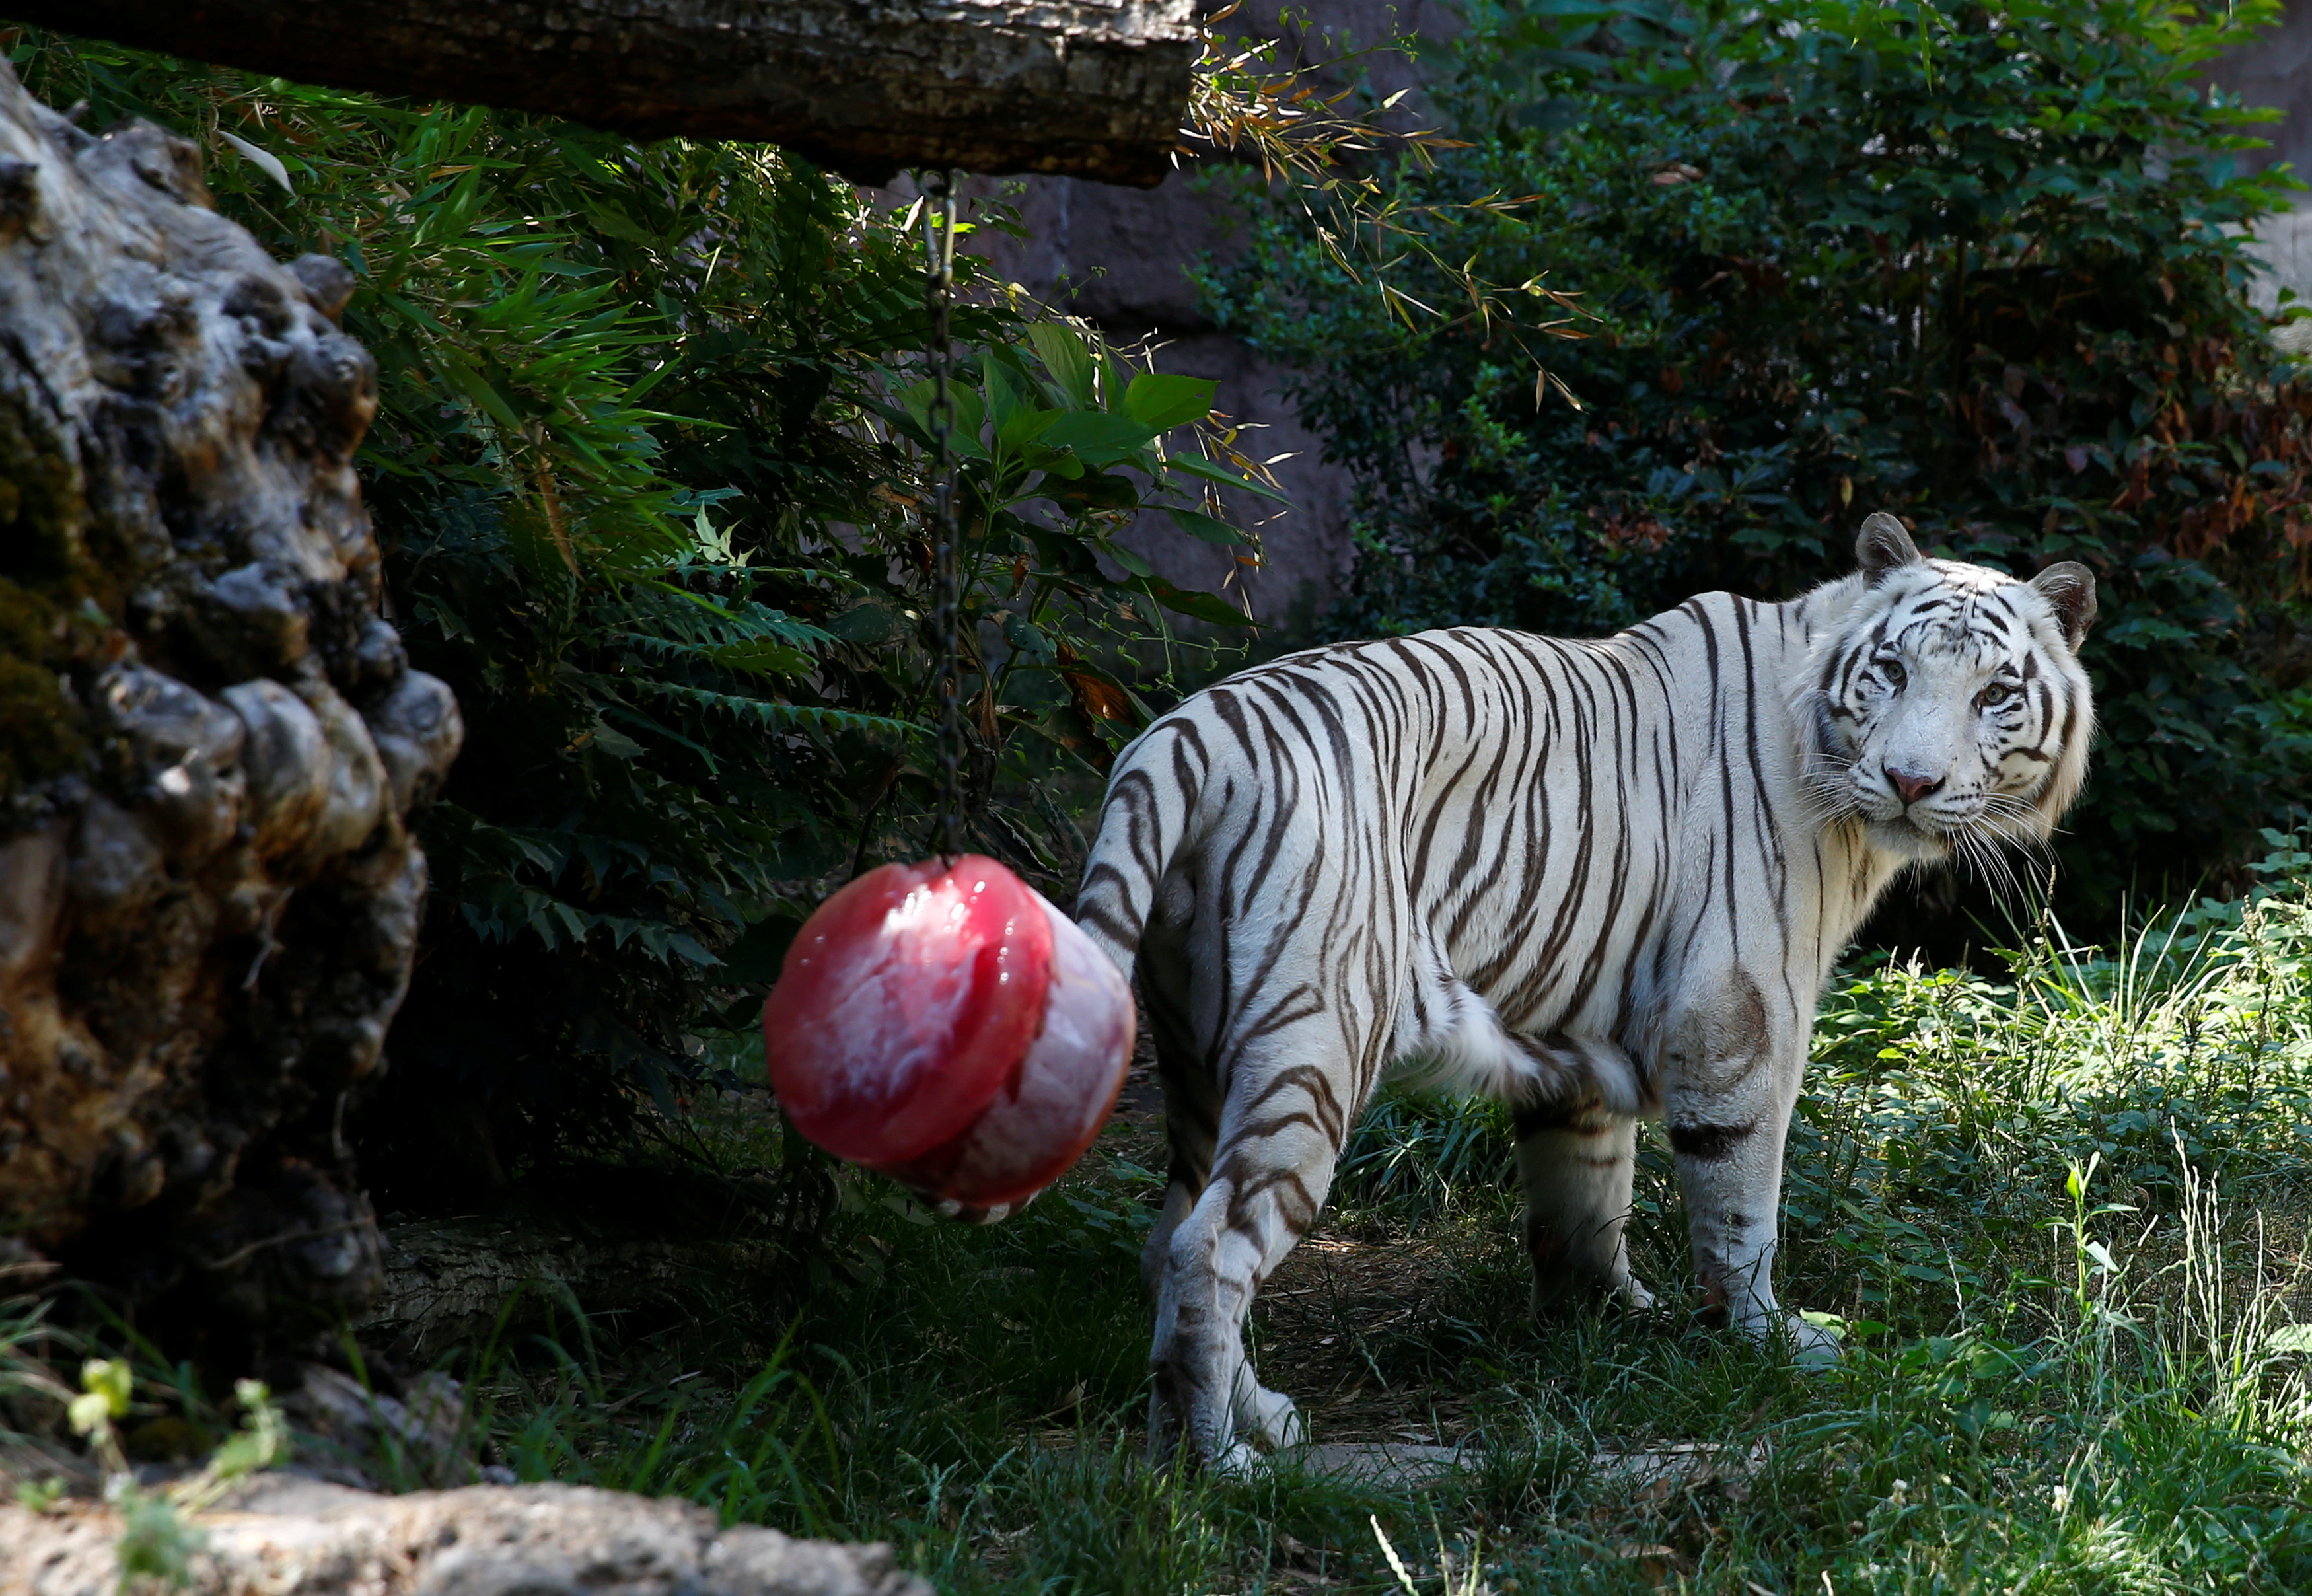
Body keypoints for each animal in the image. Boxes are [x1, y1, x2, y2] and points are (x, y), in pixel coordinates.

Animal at [1073, 513, 2109, 1470]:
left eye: (1994, 693)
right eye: (1890, 670)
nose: (1908, 780)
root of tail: (1183, 736)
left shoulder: (1575, 1026)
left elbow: (1587, 1192)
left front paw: (1605, 1316)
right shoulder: (1738, 1018)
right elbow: (1741, 1203)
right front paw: (1772, 1342)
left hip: (1196, 1054)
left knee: (1166, 1239)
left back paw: (1239, 1425)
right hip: (1315, 1043)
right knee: (1209, 1249)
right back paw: (1221, 1464)